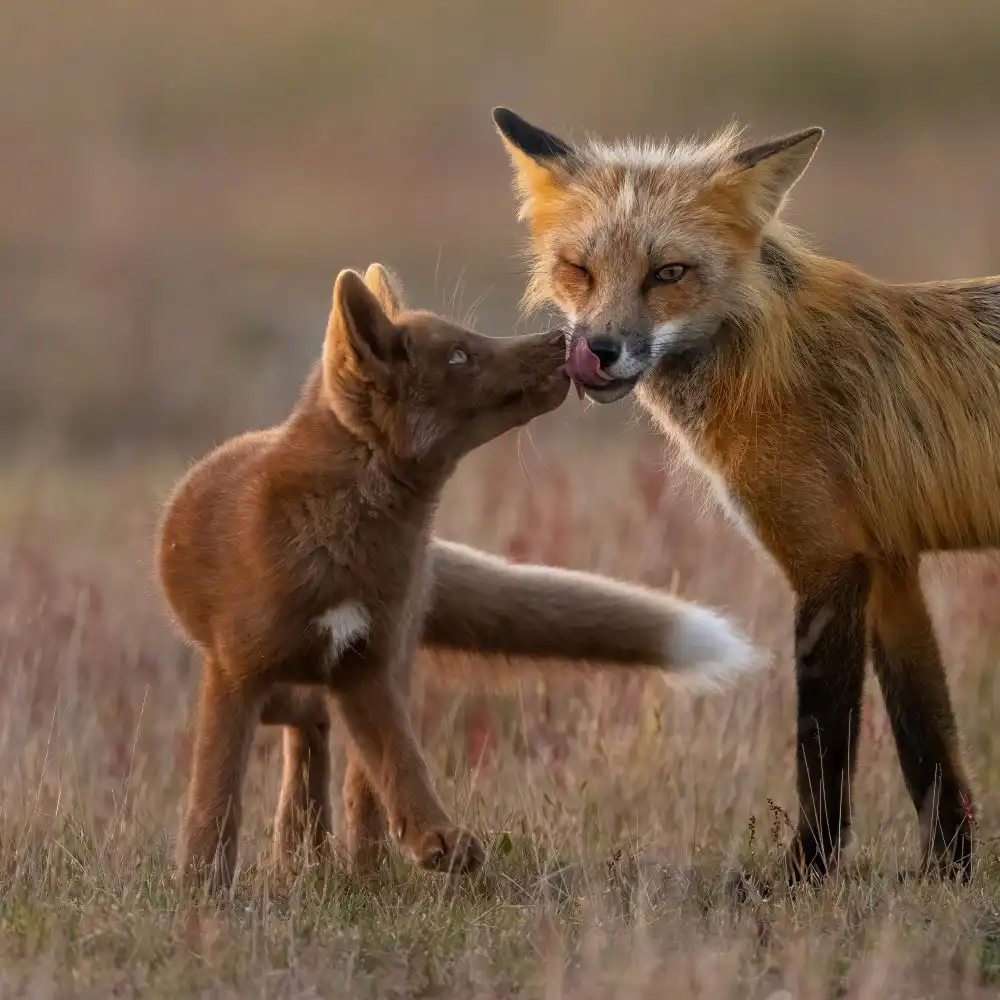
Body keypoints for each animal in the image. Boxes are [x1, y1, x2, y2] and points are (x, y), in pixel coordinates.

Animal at [155, 261, 762, 889]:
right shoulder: (236, 674)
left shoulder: (366, 665)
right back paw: (306, 856)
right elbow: (215, 796)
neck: (339, 549)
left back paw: (349, 867)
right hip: (286, 680)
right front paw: (202, 886)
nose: (563, 338)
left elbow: (400, 767)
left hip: (371, 668)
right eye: (459, 356)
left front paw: (435, 842)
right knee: (308, 738)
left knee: (343, 768)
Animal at [491, 105, 1000, 886]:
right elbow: (929, 744)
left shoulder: (826, 564)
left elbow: (823, 744)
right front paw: (950, 873)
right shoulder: (890, 566)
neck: (769, 361)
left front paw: (805, 873)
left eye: (668, 273)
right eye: (579, 270)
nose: (598, 350)